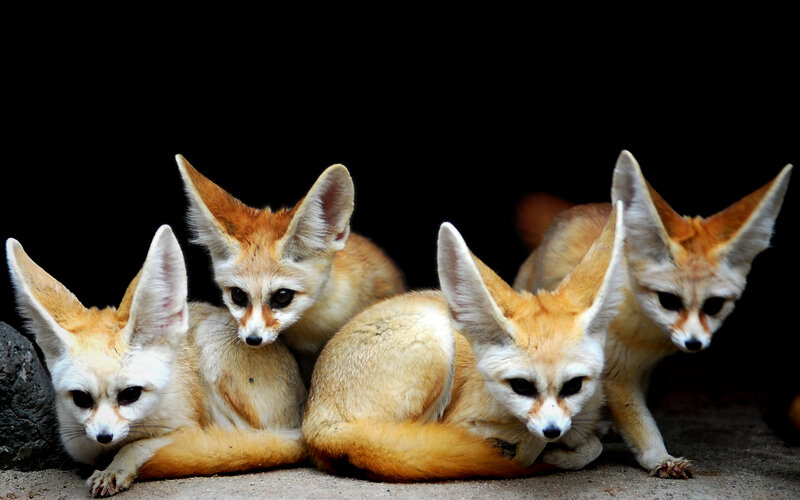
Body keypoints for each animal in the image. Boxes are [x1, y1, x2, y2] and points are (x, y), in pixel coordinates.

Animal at [6, 225, 306, 497]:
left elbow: (138, 446)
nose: (104, 436)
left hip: (211, 347)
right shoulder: (80, 443)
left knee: (252, 442)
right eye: (81, 399)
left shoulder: (186, 428)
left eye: (131, 394)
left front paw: (116, 467)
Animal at [302, 204, 626, 481]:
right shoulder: (462, 421)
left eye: (574, 386)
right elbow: (532, 445)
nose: (552, 431)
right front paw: (540, 453)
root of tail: (315, 418)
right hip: (435, 341)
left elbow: (592, 445)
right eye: (521, 386)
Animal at [514, 150, 792, 478]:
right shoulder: (614, 372)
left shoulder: (637, 368)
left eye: (713, 305)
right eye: (668, 300)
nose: (694, 343)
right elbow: (639, 422)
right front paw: (659, 457)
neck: (647, 336)